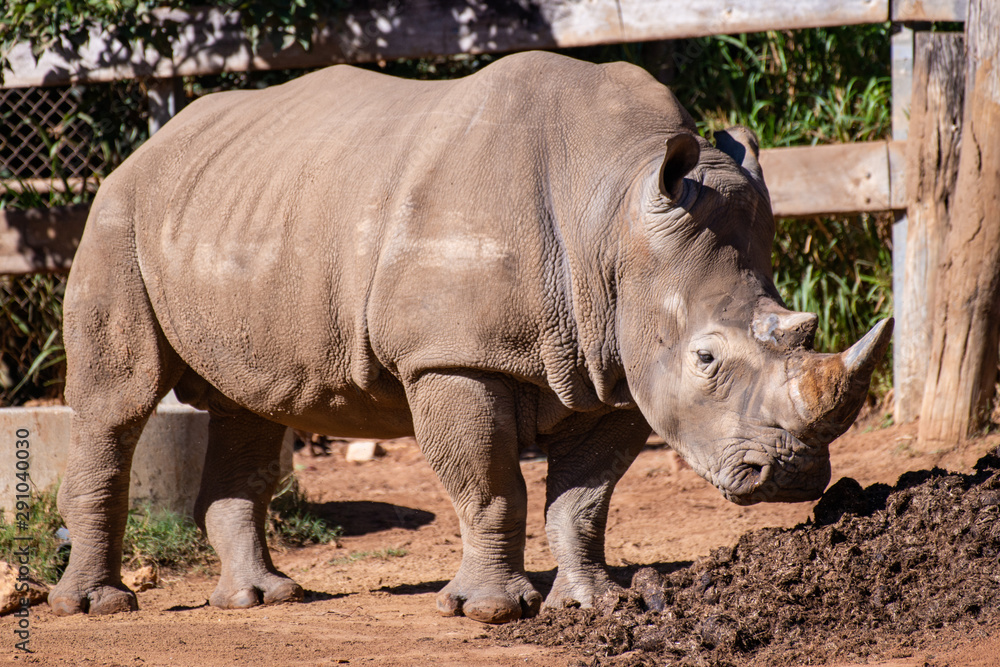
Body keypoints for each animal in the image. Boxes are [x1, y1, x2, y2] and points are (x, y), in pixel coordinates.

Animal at [50, 51, 891, 623]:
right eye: (707, 358)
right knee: (116, 403)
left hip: (242, 209)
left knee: (248, 406)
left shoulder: (619, 371)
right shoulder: (452, 358)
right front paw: (491, 610)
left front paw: (592, 605)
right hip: (119, 210)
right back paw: (98, 607)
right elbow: (490, 485)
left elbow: (583, 501)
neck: (612, 212)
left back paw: (264, 598)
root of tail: (153, 143)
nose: (792, 476)